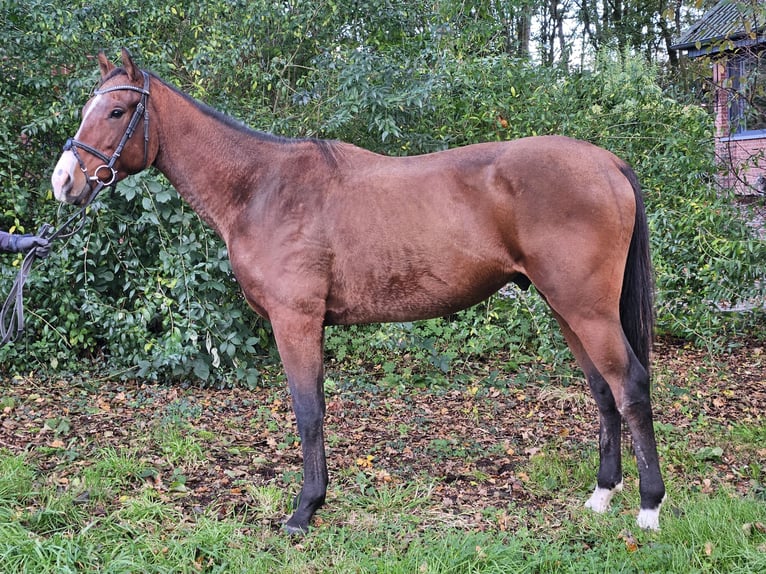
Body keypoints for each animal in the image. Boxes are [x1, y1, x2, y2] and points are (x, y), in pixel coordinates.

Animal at [52, 49, 664, 536]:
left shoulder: (295, 320)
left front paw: (304, 511)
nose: (64, 182)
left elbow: (307, 411)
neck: (261, 187)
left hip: (586, 309)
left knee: (630, 385)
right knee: (603, 390)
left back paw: (649, 508)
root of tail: (608, 162)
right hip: (568, 309)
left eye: (116, 111)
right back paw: (602, 496)